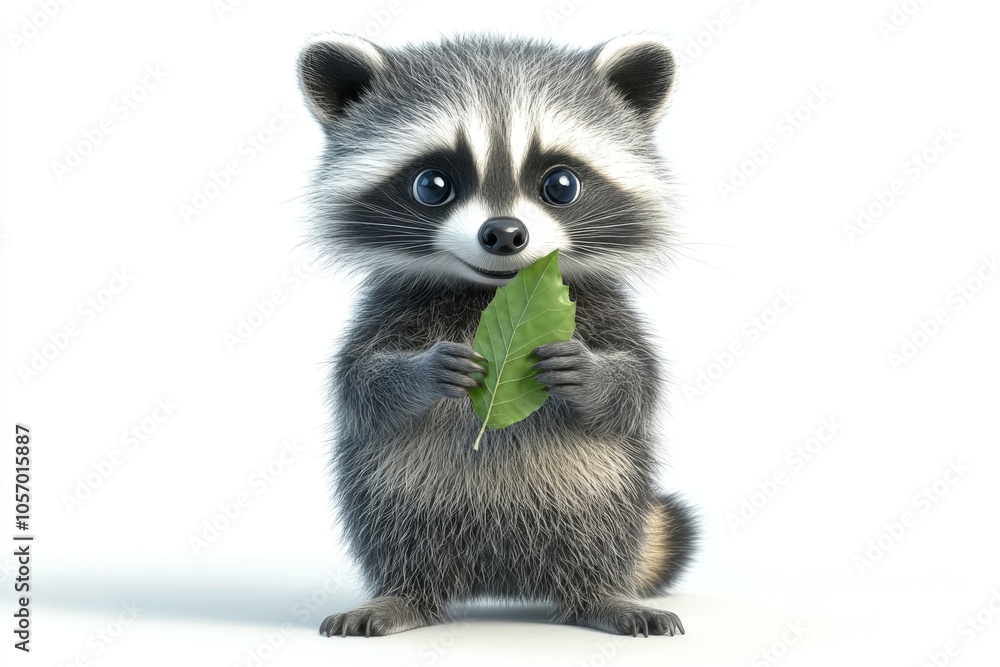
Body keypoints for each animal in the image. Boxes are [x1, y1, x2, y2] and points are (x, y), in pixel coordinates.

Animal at [297, 33, 698, 637]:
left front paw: (592, 374)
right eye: (432, 184)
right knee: (395, 529)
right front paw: (421, 371)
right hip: (394, 491)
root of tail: (501, 575)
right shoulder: (388, 304)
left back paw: (603, 595)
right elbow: (361, 382)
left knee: (604, 526)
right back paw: (402, 596)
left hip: (602, 490)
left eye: (561, 184)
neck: (490, 293)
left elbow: (637, 381)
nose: (505, 234)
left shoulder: (603, 305)